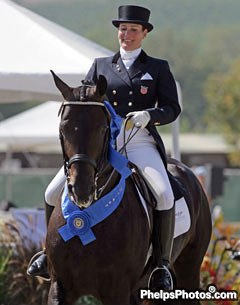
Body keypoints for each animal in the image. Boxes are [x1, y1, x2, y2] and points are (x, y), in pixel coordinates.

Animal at [45, 70, 212, 302]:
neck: (89, 214)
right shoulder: (58, 286)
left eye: (102, 128)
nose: (81, 190)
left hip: (189, 268)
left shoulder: (118, 290)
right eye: (63, 128)